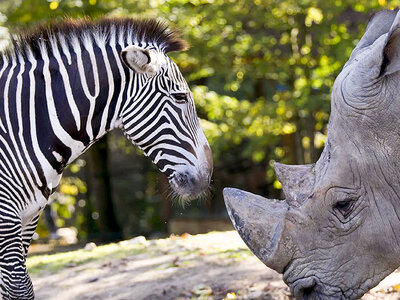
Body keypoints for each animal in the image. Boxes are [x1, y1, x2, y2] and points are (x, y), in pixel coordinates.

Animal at [0, 17, 214, 298]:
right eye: (180, 96)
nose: (207, 176)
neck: (23, 127)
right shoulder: (6, 219)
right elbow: (19, 287)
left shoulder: (29, 217)